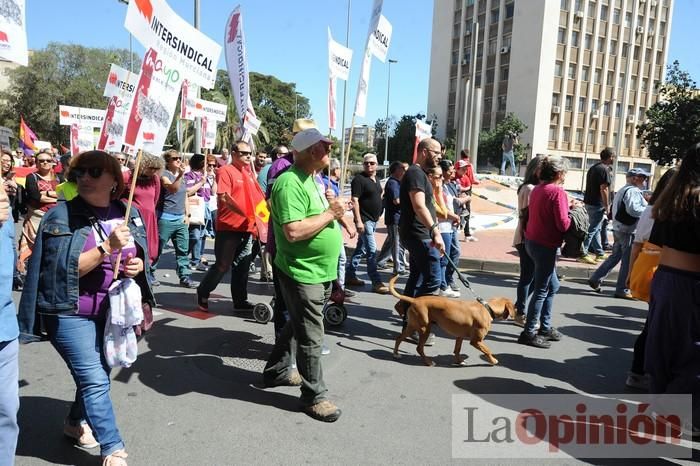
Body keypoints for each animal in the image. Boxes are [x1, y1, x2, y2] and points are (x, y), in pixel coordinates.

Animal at [388, 274, 516, 366]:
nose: (518, 314)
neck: (487, 307)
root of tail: (415, 300)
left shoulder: (460, 336)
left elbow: (457, 350)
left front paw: (459, 361)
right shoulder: (476, 341)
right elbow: (488, 350)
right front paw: (493, 360)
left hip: (412, 326)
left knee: (399, 338)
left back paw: (396, 354)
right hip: (425, 329)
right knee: (419, 348)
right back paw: (428, 362)